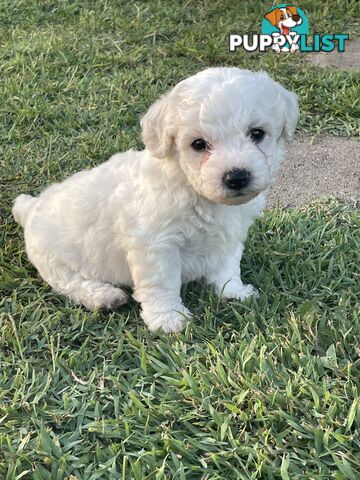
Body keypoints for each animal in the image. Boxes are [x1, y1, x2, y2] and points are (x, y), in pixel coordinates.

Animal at [12, 66, 298, 330]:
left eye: (257, 133)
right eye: (198, 144)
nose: (237, 177)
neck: (193, 191)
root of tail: (31, 208)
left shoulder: (229, 235)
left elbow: (227, 266)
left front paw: (233, 292)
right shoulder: (156, 245)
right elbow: (162, 283)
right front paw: (168, 318)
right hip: (53, 261)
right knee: (70, 283)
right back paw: (104, 296)